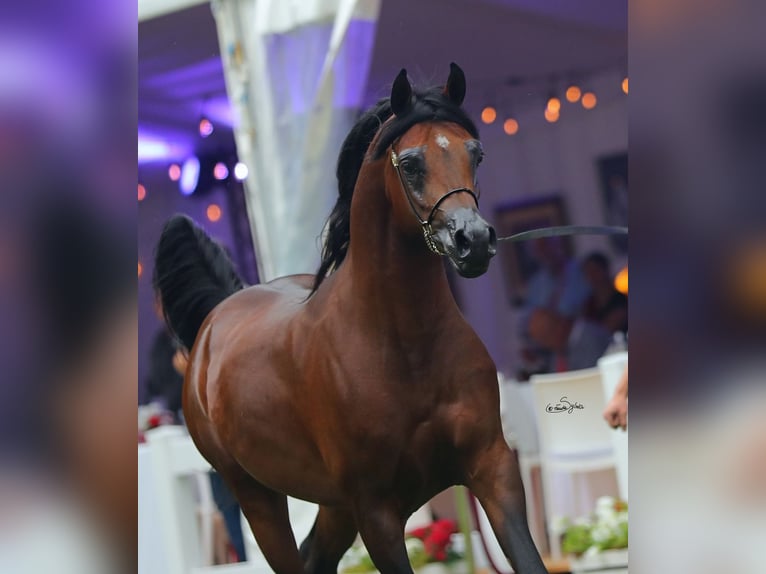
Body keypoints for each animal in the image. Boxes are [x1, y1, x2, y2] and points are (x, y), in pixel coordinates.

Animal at [154, 63, 548, 574]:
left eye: (475, 153)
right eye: (410, 163)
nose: (473, 241)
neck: (406, 348)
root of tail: (217, 316)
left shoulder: (493, 469)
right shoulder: (375, 510)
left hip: (332, 506)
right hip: (258, 498)